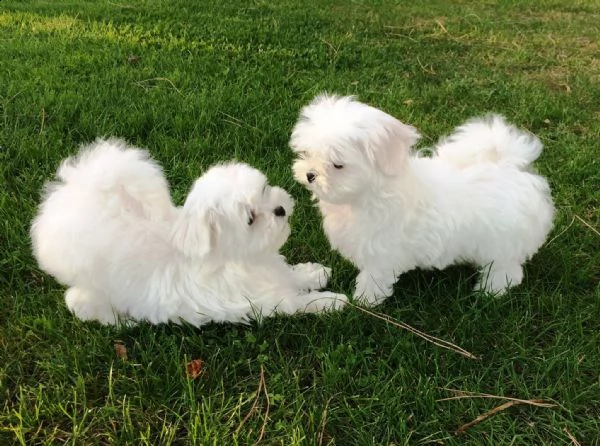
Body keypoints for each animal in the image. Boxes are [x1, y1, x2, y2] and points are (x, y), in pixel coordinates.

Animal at [29, 138, 346, 326]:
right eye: (250, 219)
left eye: (265, 190)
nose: (280, 209)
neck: (239, 259)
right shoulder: (267, 300)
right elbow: (300, 303)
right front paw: (331, 301)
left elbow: (291, 274)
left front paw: (313, 274)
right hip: (93, 288)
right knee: (79, 303)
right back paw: (122, 321)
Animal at [288, 92, 556, 304]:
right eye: (307, 154)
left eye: (337, 165)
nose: (310, 175)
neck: (368, 194)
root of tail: (510, 168)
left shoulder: (381, 252)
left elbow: (373, 278)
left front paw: (365, 301)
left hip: (502, 244)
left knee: (506, 270)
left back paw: (489, 291)